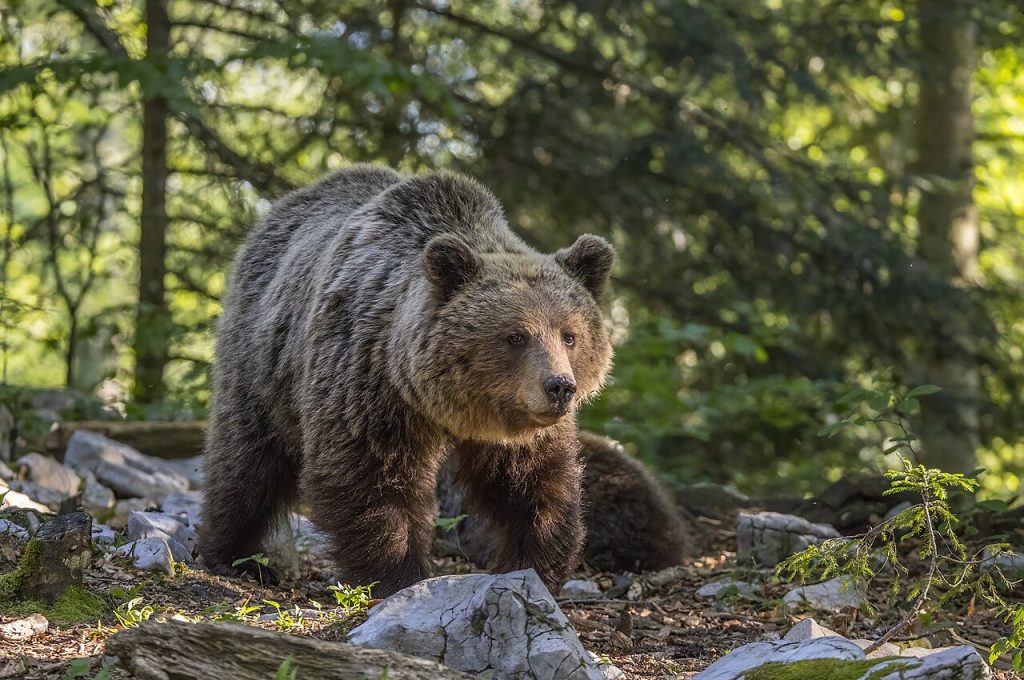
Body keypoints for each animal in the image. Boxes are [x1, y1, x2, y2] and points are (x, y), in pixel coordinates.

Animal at [199, 165, 615, 596]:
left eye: (570, 335)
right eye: (516, 336)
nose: (559, 386)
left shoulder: (518, 426)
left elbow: (534, 484)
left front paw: (535, 564)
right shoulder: (368, 383)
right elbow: (370, 476)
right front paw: (398, 574)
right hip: (263, 360)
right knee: (248, 459)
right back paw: (235, 555)